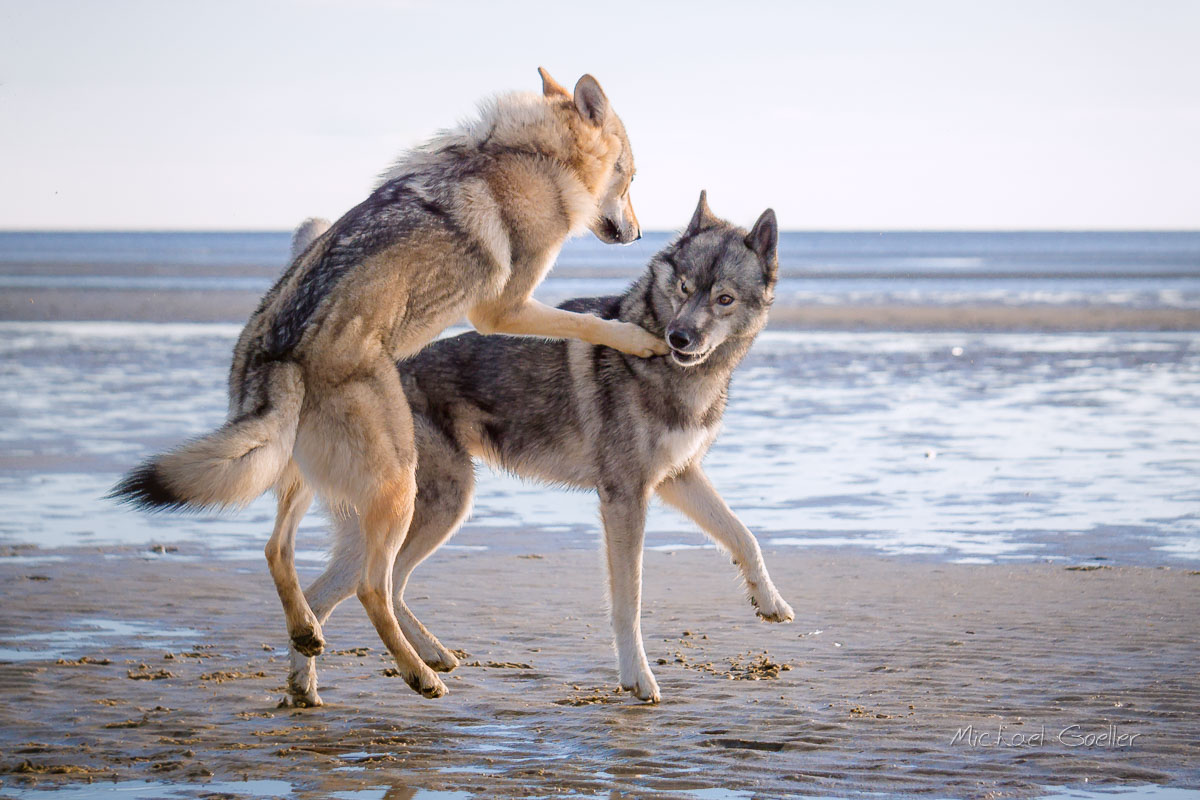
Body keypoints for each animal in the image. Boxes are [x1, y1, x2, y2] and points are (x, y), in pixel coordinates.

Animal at [111, 69, 667, 700]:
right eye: (631, 177)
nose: (639, 234)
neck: (535, 156)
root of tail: (280, 352)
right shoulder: (502, 308)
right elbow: (588, 321)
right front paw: (639, 340)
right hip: (403, 483)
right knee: (371, 586)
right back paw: (419, 673)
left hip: (307, 476)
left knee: (279, 551)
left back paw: (310, 647)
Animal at [279, 191, 793, 706]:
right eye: (684, 289)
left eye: (724, 299)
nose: (679, 338)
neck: (680, 374)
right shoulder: (626, 497)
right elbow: (629, 600)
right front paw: (637, 677)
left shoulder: (676, 477)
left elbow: (743, 535)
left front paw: (770, 601)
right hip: (440, 505)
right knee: (363, 589)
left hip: (422, 516)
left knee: (358, 590)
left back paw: (365, 671)